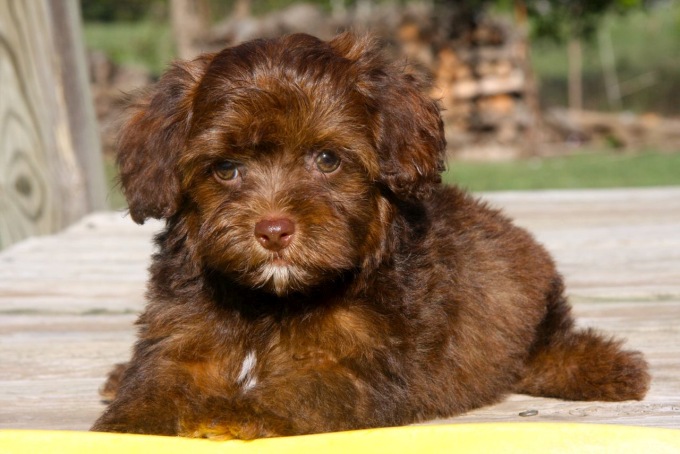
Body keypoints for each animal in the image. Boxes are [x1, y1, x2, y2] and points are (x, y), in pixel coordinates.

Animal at [90, 33, 648, 438]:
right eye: (225, 169)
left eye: (327, 159)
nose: (273, 230)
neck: (271, 301)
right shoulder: (178, 335)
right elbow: (156, 380)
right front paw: (130, 421)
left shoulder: (364, 362)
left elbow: (307, 386)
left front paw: (245, 413)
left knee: (553, 351)